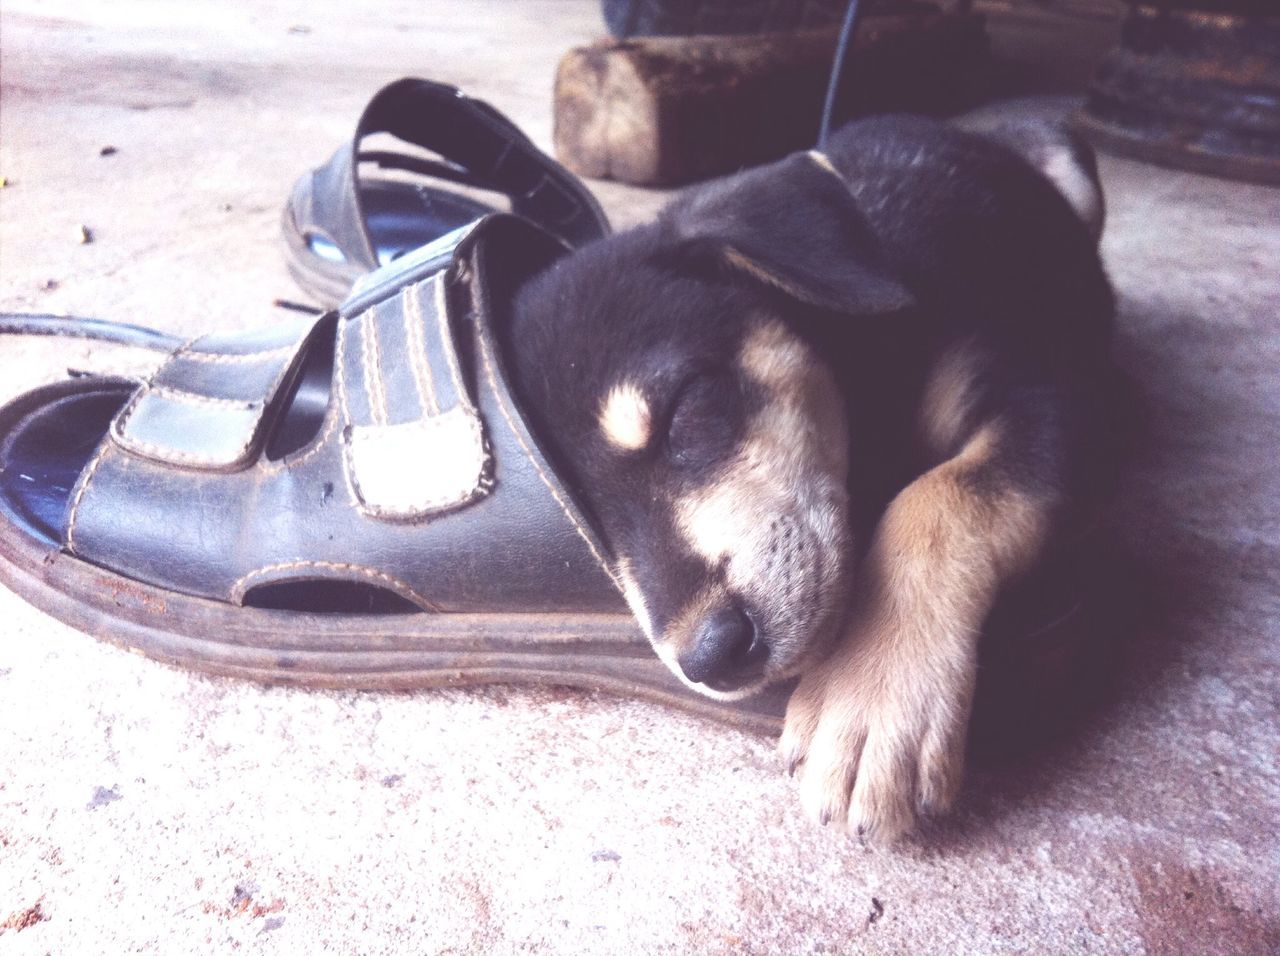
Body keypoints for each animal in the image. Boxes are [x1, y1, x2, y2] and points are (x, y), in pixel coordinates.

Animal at [504, 115, 1116, 839]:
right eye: (582, 525)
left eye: (685, 409)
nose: (709, 658)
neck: (863, 362)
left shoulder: (1049, 401)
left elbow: (936, 494)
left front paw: (873, 692)